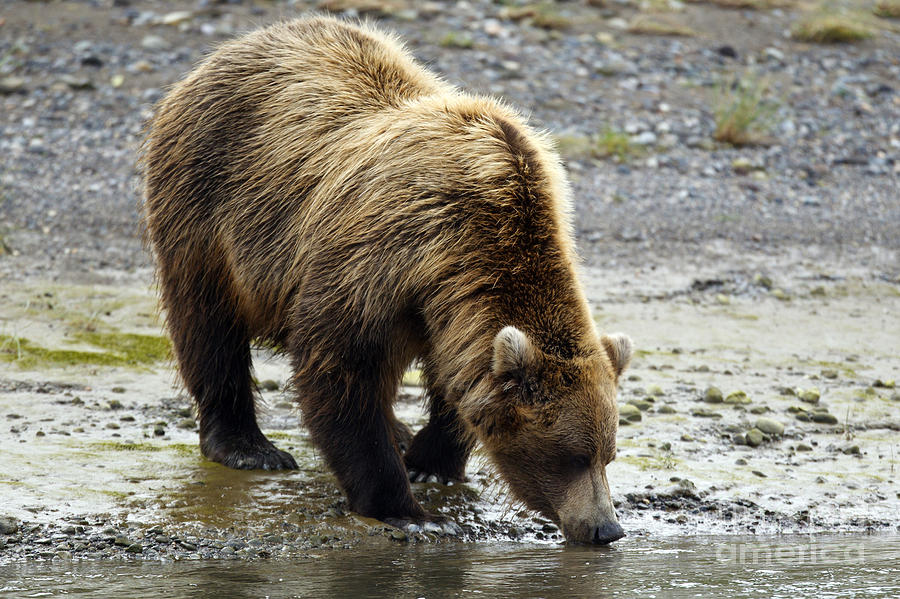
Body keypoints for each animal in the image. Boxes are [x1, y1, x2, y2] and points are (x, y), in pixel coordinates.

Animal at [142, 16, 632, 548]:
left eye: (608, 454)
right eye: (572, 456)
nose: (605, 528)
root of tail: (234, 46)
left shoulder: (442, 305)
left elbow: (453, 379)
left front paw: (430, 463)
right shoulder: (380, 257)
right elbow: (339, 368)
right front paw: (410, 509)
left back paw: (397, 428)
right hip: (209, 202)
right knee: (207, 323)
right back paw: (247, 446)